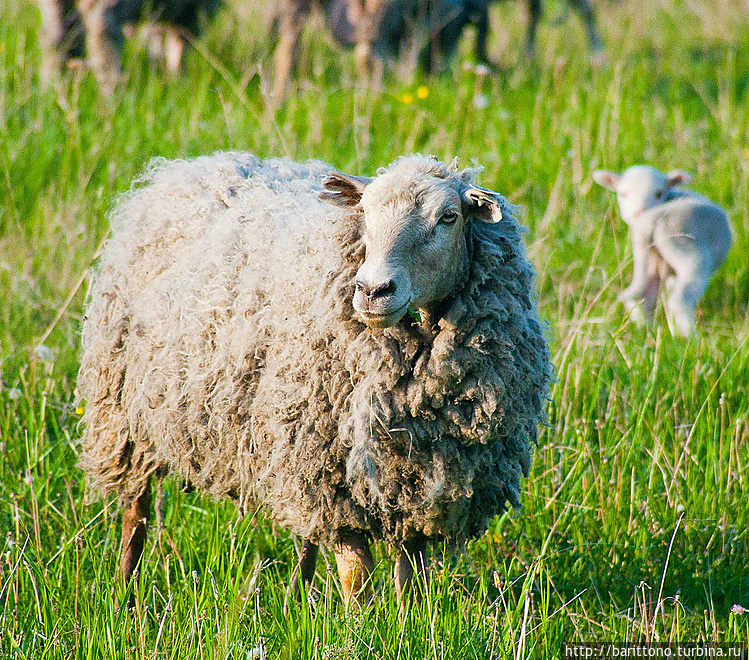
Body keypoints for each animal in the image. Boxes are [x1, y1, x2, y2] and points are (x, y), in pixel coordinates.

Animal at [80, 152, 548, 604]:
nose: (373, 290)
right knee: (135, 513)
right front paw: (359, 624)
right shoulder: (332, 482)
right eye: (365, 214)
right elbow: (356, 578)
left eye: (448, 216)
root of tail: (183, 166)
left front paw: (408, 621)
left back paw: (295, 594)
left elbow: (410, 576)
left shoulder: (423, 480)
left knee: (305, 532)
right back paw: (123, 594)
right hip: (123, 415)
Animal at [592, 165, 732, 336]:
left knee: (642, 295)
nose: (638, 212)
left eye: (659, 193)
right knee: (679, 301)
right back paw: (691, 337)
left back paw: (645, 329)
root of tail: (652, 219)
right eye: (623, 194)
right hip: (691, 255)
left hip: (647, 257)